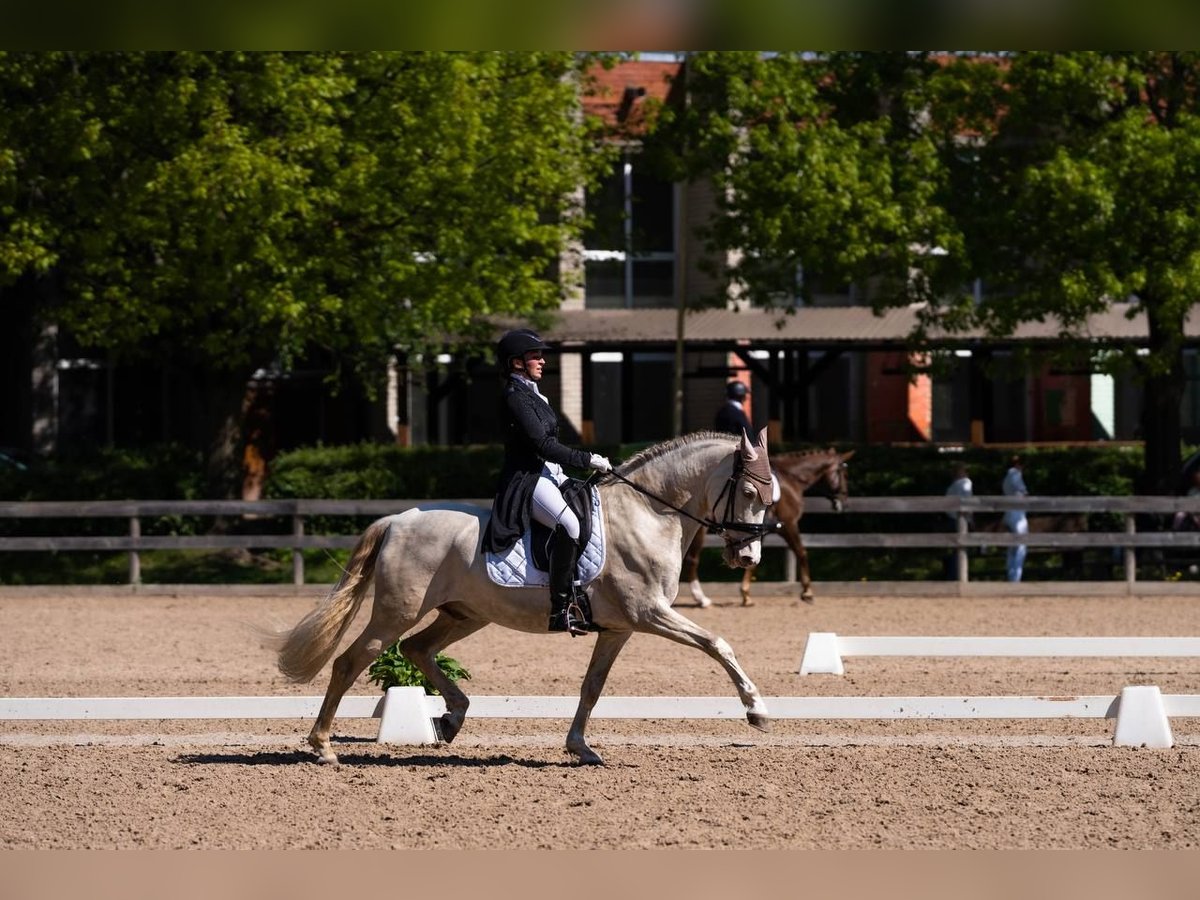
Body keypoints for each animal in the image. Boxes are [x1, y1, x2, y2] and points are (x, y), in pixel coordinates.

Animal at [272, 429, 776, 766]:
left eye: (769, 498)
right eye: (750, 491)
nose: (747, 556)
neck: (649, 514)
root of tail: (398, 519)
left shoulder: (619, 628)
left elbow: (592, 686)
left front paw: (580, 748)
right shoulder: (650, 613)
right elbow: (718, 644)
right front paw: (757, 710)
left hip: (464, 614)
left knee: (416, 648)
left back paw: (452, 718)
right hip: (398, 612)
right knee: (352, 661)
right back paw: (323, 747)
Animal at [681, 448, 853, 607]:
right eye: (844, 474)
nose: (843, 502)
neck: (791, 479)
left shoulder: (757, 531)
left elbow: (752, 559)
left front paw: (746, 595)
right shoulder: (788, 524)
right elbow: (801, 552)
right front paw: (807, 593)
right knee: (691, 559)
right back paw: (701, 599)